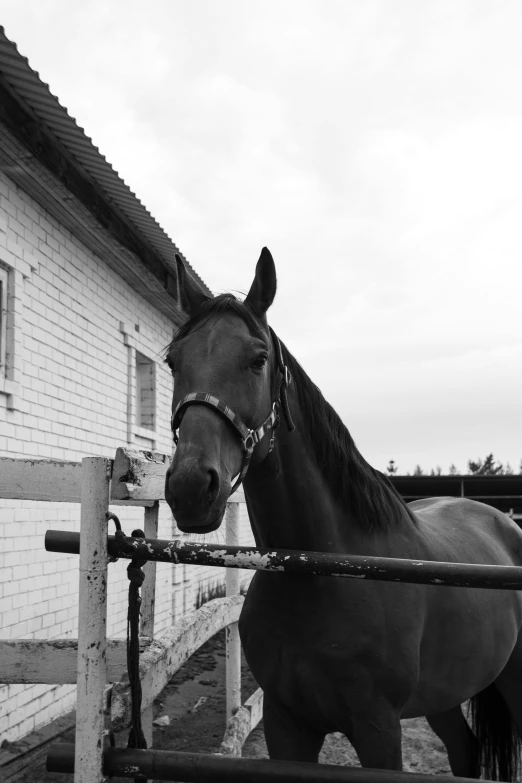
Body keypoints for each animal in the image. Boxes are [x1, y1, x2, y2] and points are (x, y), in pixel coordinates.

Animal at [165, 248, 520, 780]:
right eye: (172, 361)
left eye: (258, 359)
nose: (190, 487)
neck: (321, 572)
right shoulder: (287, 725)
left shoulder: (378, 729)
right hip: (445, 693)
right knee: (464, 749)